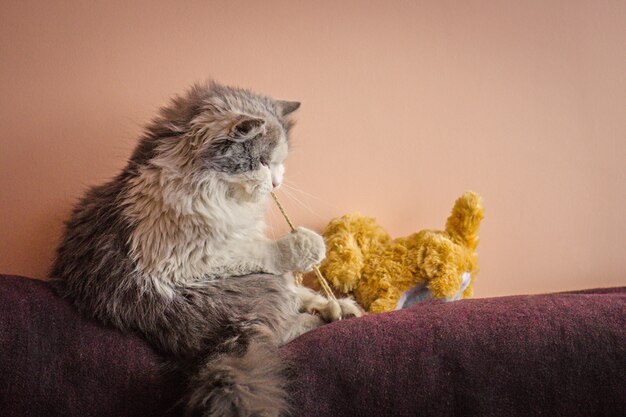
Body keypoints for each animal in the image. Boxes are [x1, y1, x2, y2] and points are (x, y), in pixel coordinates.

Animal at [50, 81, 358, 416]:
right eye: (264, 161)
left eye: (280, 163)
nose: (276, 184)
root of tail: (220, 341)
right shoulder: (188, 257)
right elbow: (259, 250)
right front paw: (307, 246)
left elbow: (291, 281)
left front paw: (329, 297)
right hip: (253, 290)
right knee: (281, 329)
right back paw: (331, 316)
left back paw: (342, 308)